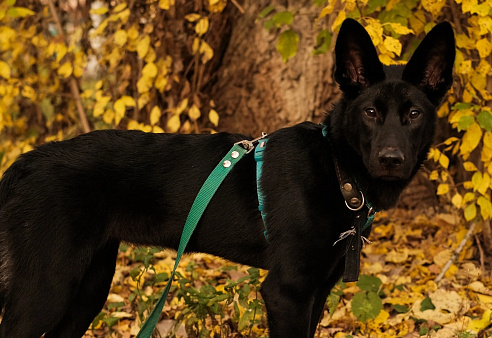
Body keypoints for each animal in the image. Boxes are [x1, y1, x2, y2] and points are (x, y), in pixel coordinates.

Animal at [0, 20, 454, 338]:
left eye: (414, 114)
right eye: (371, 113)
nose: (391, 160)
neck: (336, 168)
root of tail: (24, 162)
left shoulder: (318, 291)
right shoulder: (287, 292)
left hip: (90, 283)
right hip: (48, 285)